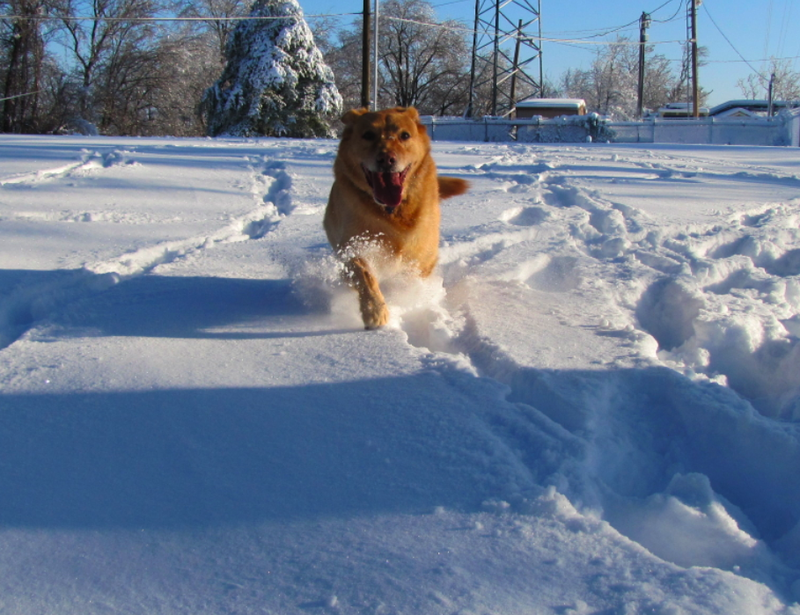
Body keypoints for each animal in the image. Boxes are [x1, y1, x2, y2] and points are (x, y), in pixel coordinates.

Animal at [324, 106, 468, 330]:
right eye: (368, 135)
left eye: (405, 135)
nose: (386, 159)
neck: (392, 211)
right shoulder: (350, 249)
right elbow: (365, 275)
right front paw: (375, 311)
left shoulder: (422, 259)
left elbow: (410, 280)